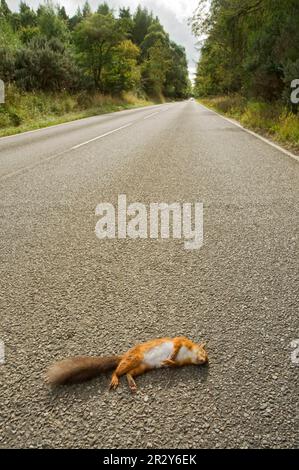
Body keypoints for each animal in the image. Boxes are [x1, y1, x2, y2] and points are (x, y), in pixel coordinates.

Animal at [45, 336, 209, 392]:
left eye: (205, 360)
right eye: (203, 352)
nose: (203, 361)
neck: (188, 355)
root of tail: (124, 356)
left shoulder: (181, 363)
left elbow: (175, 364)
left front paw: (168, 362)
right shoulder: (181, 340)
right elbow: (176, 345)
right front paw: (170, 357)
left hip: (141, 367)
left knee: (129, 373)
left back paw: (131, 382)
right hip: (134, 359)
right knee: (116, 371)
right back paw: (114, 379)